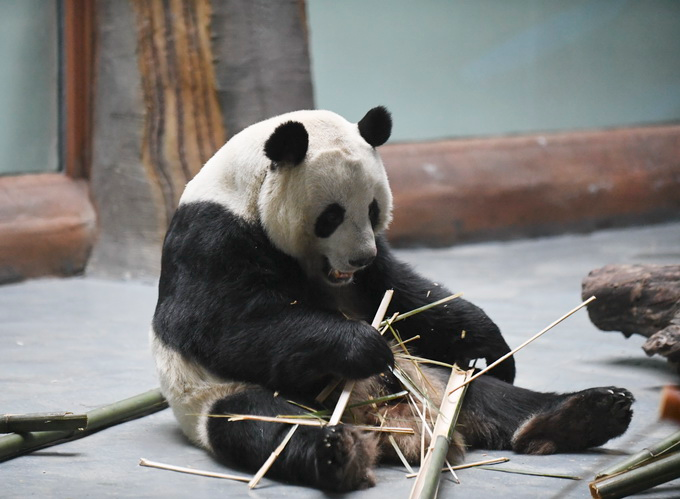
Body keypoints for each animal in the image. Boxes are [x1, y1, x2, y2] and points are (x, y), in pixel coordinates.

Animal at [151, 106, 634, 491]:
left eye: (372, 209)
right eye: (330, 216)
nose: (359, 257)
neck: (243, 186)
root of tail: (385, 428)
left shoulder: (374, 273)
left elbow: (406, 296)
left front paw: (492, 346)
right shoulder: (213, 236)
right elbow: (223, 324)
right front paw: (361, 346)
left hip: (432, 376)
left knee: (487, 394)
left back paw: (588, 412)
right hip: (217, 396)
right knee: (263, 424)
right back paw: (336, 454)